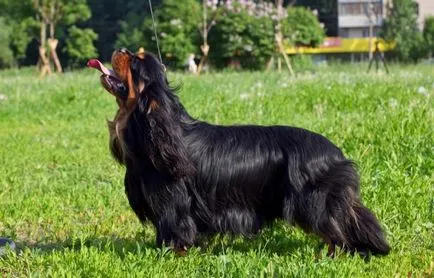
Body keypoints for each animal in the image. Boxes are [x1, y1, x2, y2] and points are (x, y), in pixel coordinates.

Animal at [87, 48, 390, 256]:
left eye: (135, 61)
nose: (120, 49)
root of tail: (337, 155)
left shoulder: (173, 202)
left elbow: (175, 230)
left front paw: (172, 254)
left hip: (314, 202)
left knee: (336, 232)